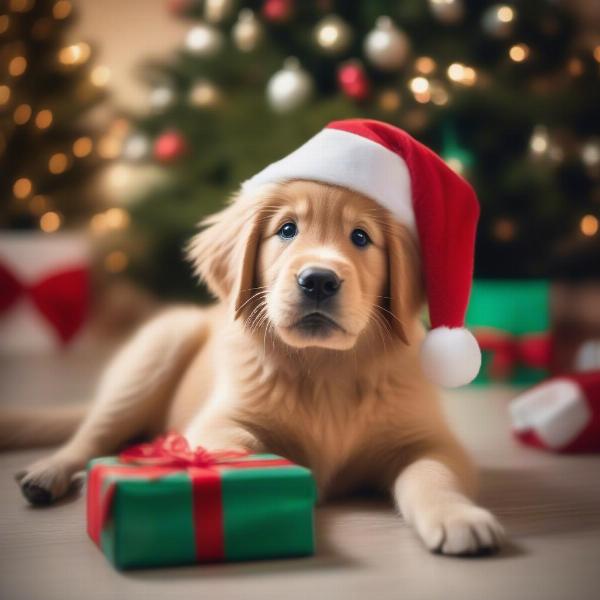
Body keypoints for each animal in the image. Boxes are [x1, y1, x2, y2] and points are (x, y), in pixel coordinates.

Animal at [9, 179, 502, 556]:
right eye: (286, 230)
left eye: (361, 237)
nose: (318, 280)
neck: (327, 370)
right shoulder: (219, 422)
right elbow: (239, 449)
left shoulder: (430, 440)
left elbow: (433, 476)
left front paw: (457, 517)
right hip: (159, 346)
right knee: (93, 432)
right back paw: (49, 473)